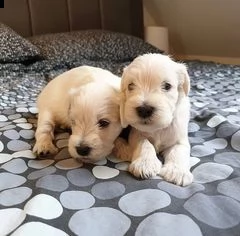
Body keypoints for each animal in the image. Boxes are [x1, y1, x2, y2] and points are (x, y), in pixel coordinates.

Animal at [115, 53, 194, 186]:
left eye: (167, 86)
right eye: (131, 85)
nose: (144, 110)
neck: (158, 128)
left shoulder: (180, 139)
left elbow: (178, 152)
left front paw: (177, 171)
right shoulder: (137, 134)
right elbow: (145, 144)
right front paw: (145, 164)